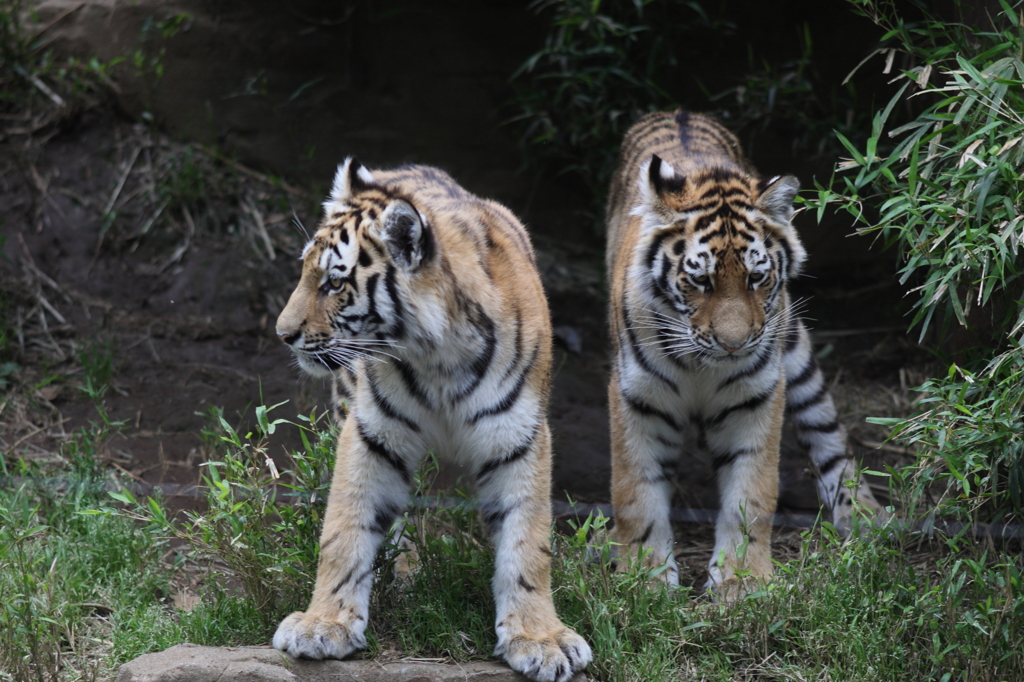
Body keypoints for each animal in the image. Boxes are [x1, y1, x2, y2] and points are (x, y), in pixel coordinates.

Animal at [272, 155, 593, 679]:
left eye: (334, 283)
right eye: (304, 272)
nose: (283, 334)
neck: (437, 357)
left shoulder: (519, 438)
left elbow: (527, 544)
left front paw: (540, 639)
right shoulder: (370, 433)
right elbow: (343, 529)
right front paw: (324, 624)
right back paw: (403, 573)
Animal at [602, 110, 884, 593]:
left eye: (756, 278)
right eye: (700, 281)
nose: (734, 343)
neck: (701, 366)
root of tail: (678, 112)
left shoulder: (756, 397)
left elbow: (751, 493)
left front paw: (742, 580)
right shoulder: (637, 397)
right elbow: (635, 492)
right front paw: (646, 578)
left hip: (793, 345)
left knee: (826, 427)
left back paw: (863, 513)